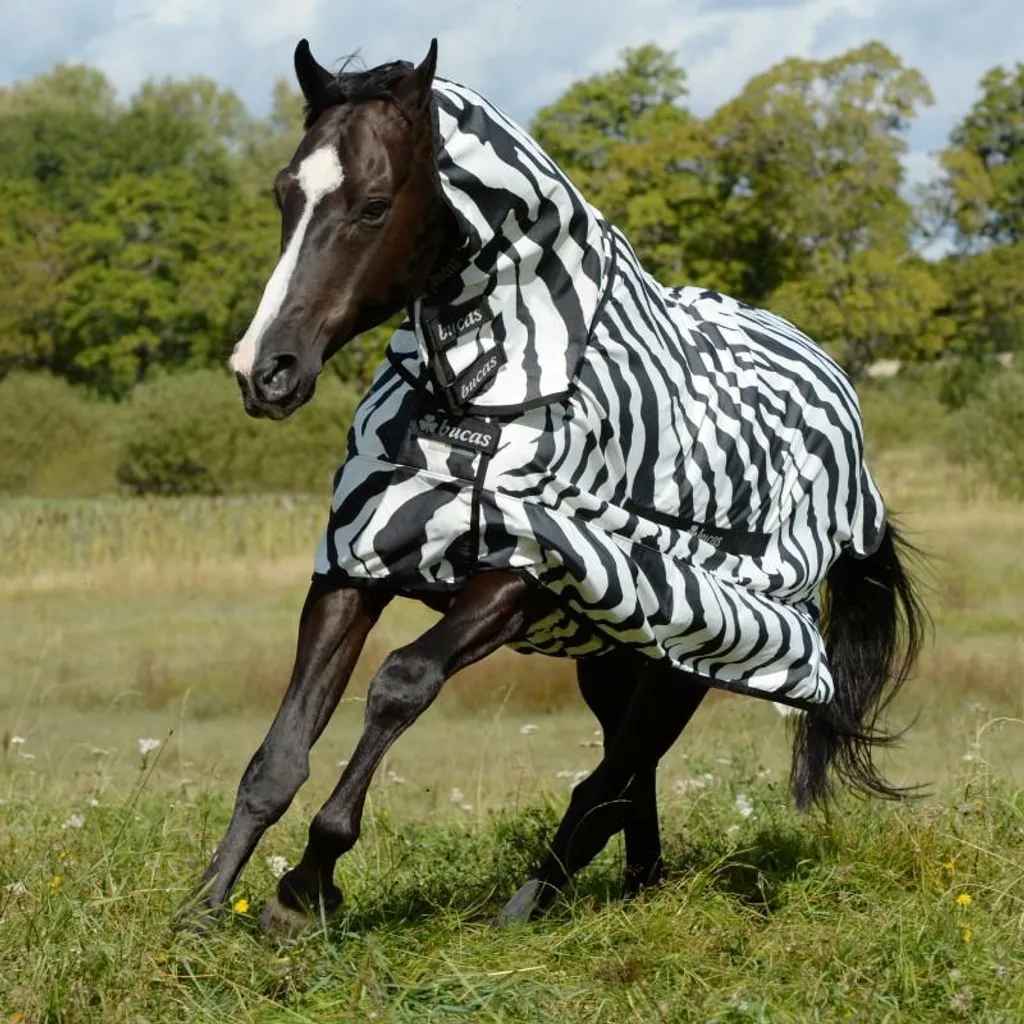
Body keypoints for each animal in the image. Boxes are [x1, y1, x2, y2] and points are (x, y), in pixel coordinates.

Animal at [179, 38, 925, 936]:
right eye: (285, 194)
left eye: (373, 204)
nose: (265, 370)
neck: (486, 398)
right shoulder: (356, 561)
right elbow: (278, 754)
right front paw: (203, 909)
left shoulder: (526, 572)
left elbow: (400, 684)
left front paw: (306, 885)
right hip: (614, 657)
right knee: (626, 779)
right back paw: (630, 890)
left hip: (691, 653)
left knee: (611, 777)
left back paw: (529, 903)